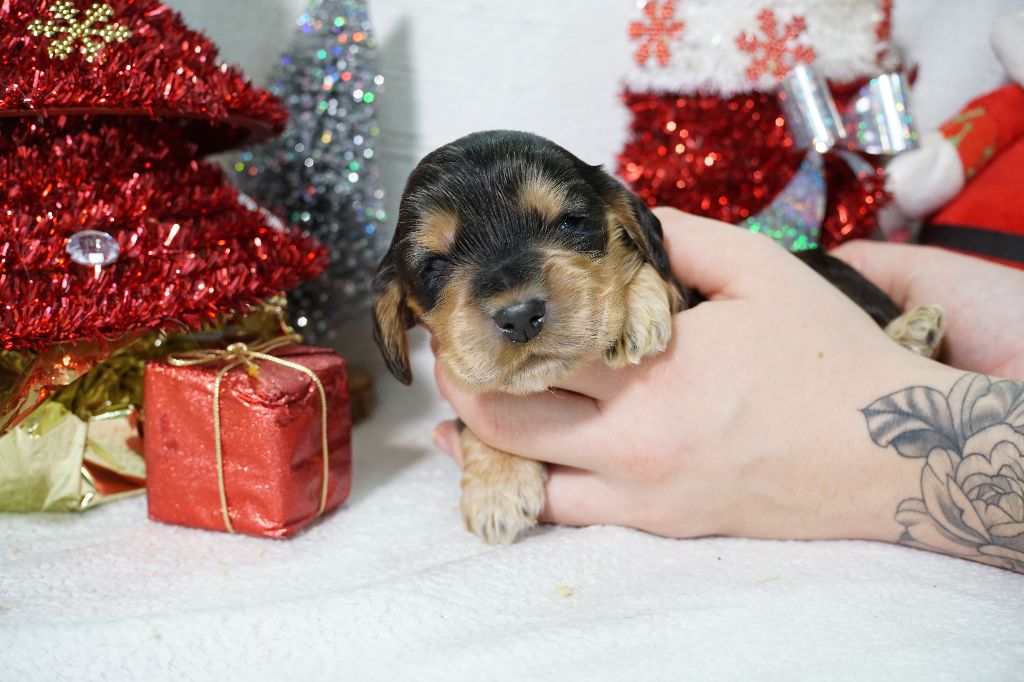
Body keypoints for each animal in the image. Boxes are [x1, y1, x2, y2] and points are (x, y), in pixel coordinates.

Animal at [370, 129, 942, 540]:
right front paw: (497, 487)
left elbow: (655, 271)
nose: (519, 315)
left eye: (568, 223)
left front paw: (630, 311)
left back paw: (913, 331)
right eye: (434, 265)